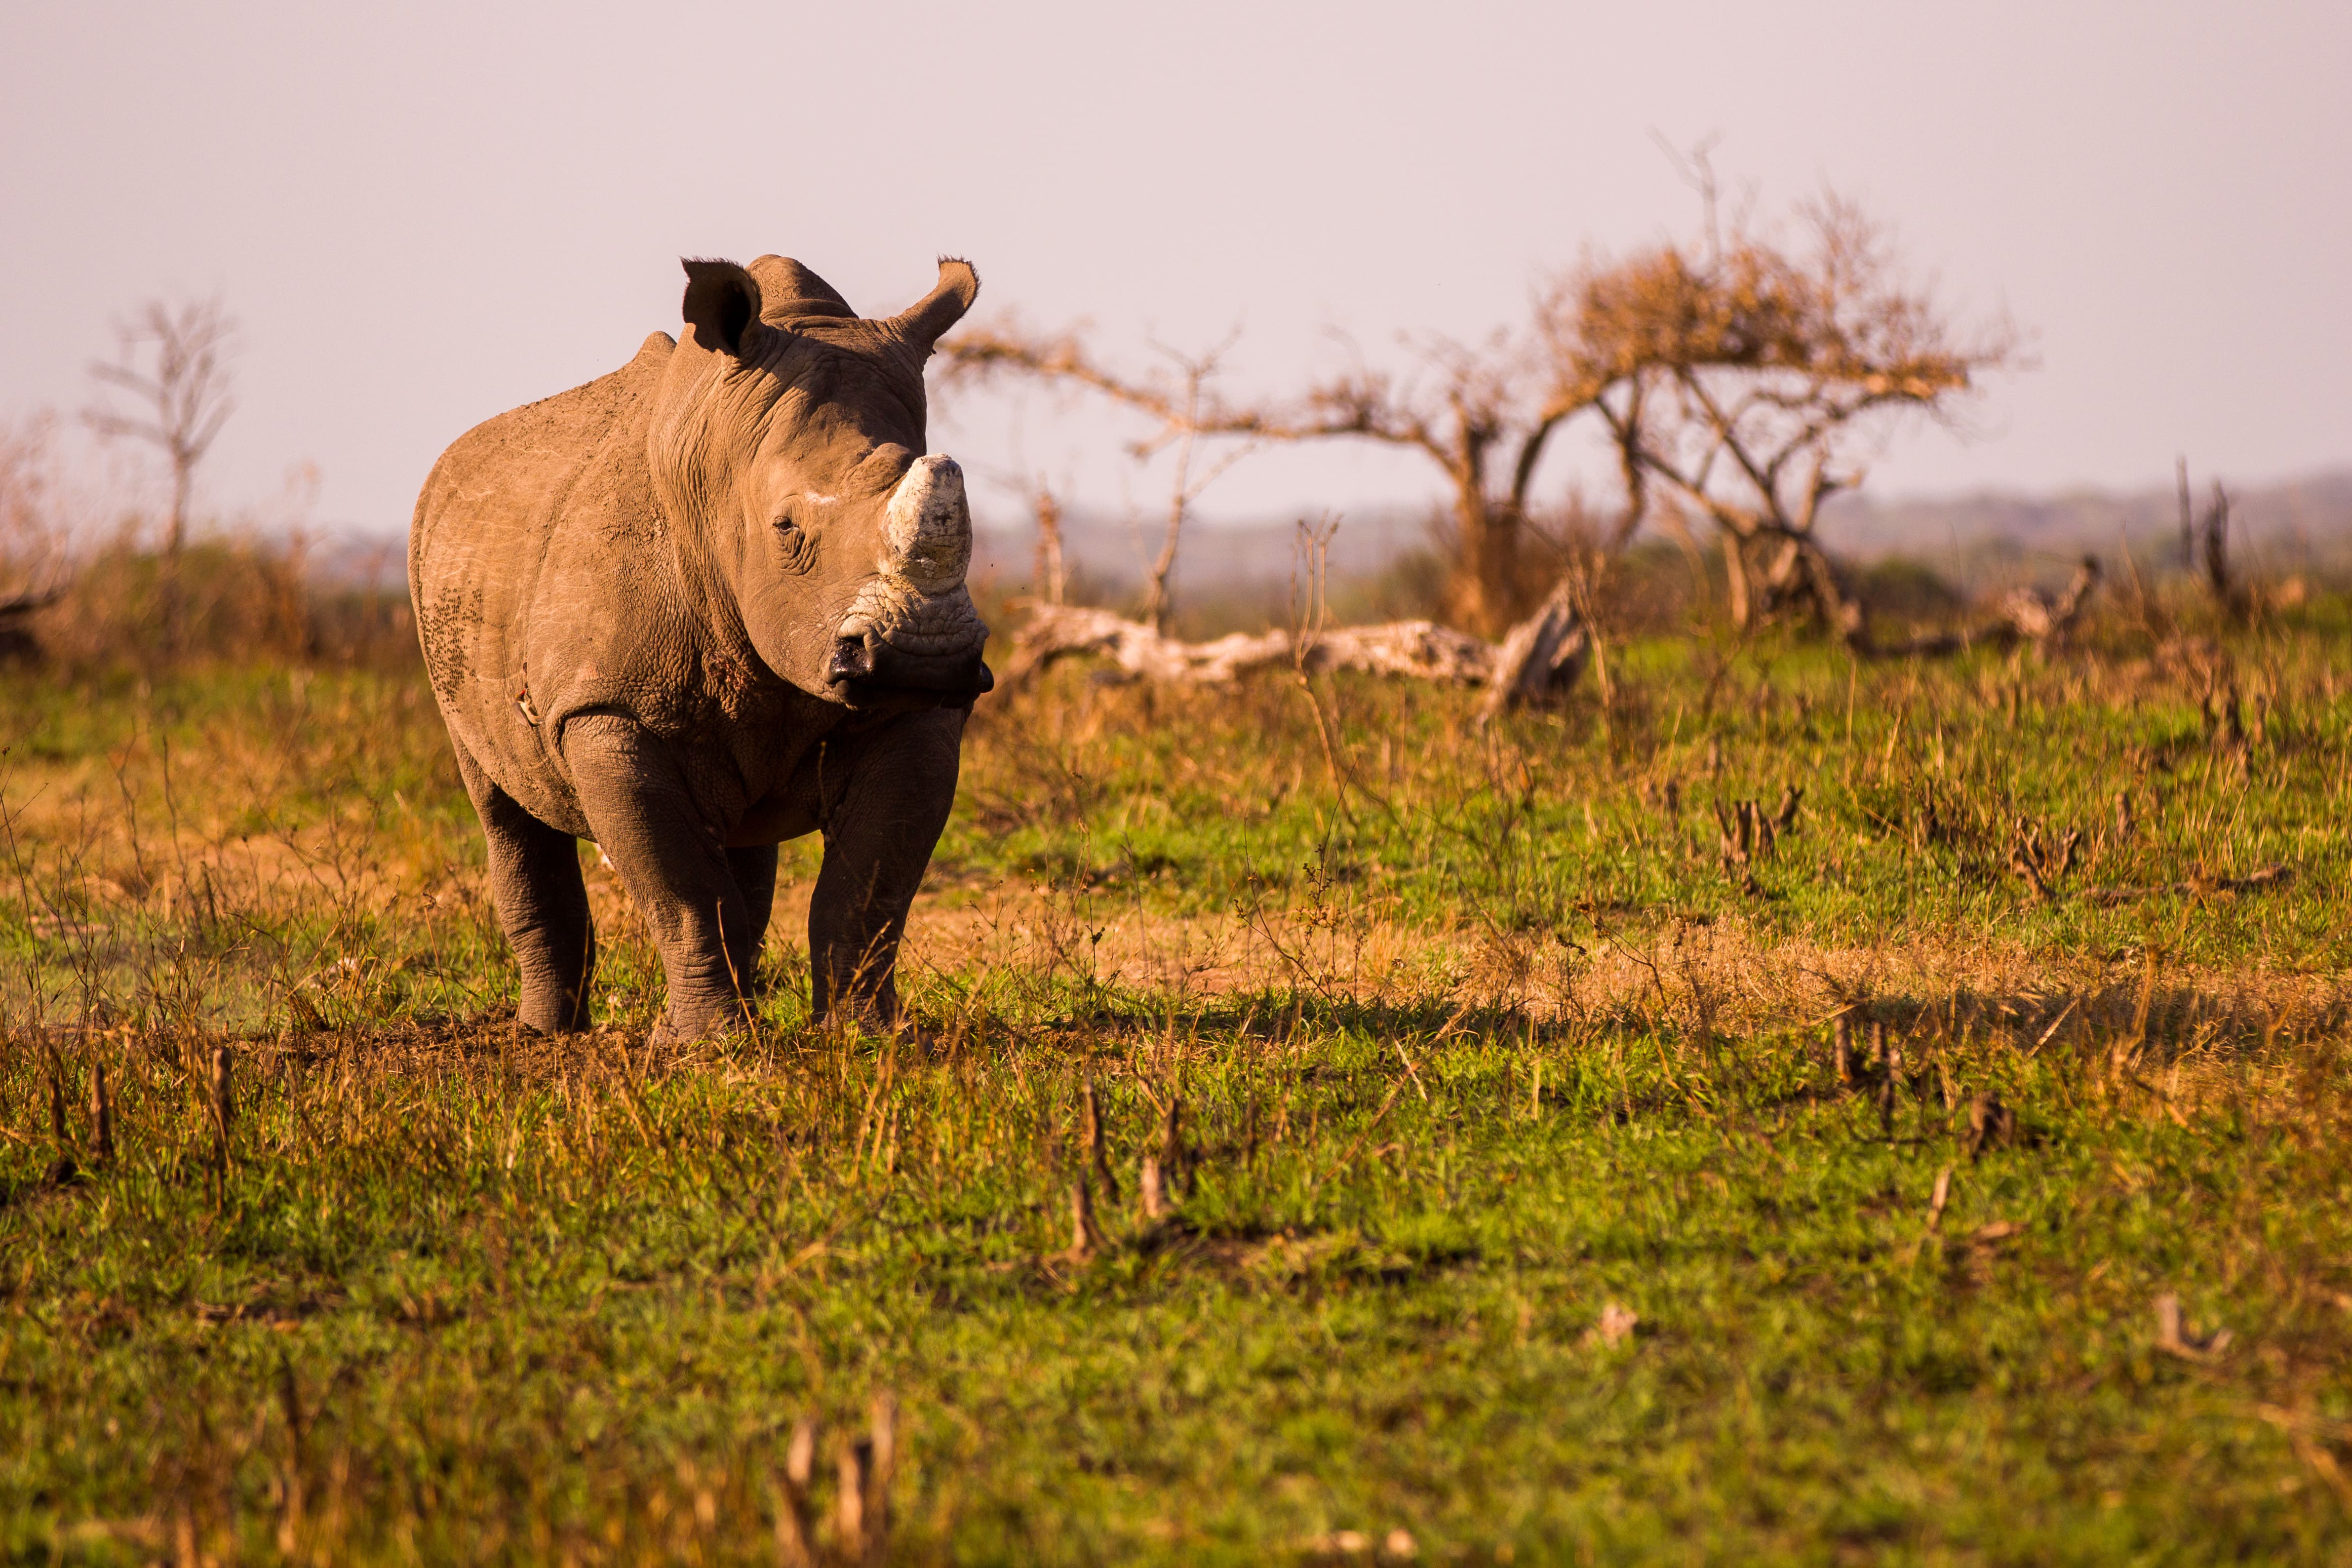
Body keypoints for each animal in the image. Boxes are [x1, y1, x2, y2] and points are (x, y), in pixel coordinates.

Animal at [409, 254, 990, 1040]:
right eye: (786, 530)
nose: (927, 655)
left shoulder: (910, 706)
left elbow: (871, 885)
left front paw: (863, 1039)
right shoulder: (606, 706)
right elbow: (679, 886)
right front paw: (706, 1046)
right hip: (438, 587)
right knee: (503, 805)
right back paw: (547, 1033)